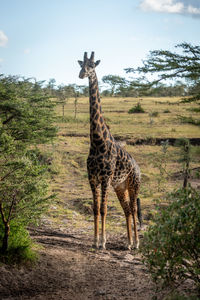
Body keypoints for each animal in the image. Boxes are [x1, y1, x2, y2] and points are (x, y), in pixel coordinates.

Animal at [77, 52, 141, 251]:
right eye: (81, 64)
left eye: (92, 65)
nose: (82, 74)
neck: (98, 142)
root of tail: (138, 167)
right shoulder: (92, 178)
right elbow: (95, 209)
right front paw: (94, 240)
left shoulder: (105, 178)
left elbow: (104, 209)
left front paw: (103, 242)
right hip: (120, 186)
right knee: (127, 210)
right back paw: (128, 243)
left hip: (134, 184)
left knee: (133, 209)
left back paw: (137, 243)